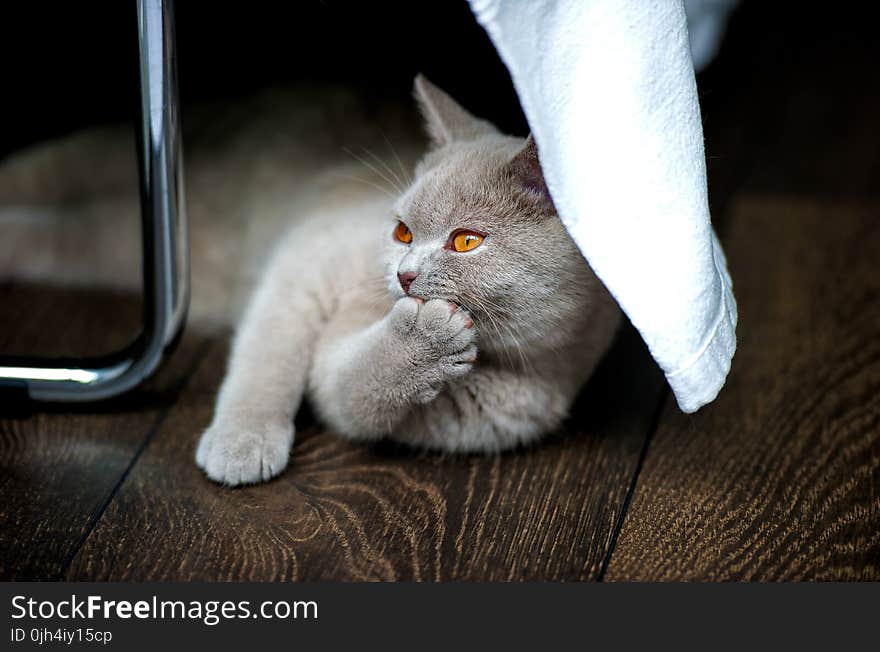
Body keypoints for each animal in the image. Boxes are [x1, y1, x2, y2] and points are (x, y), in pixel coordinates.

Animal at [192, 76, 620, 484]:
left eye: (466, 241)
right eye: (403, 233)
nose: (405, 273)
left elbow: (351, 392)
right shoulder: (304, 268)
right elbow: (270, 355)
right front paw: (242, 443)